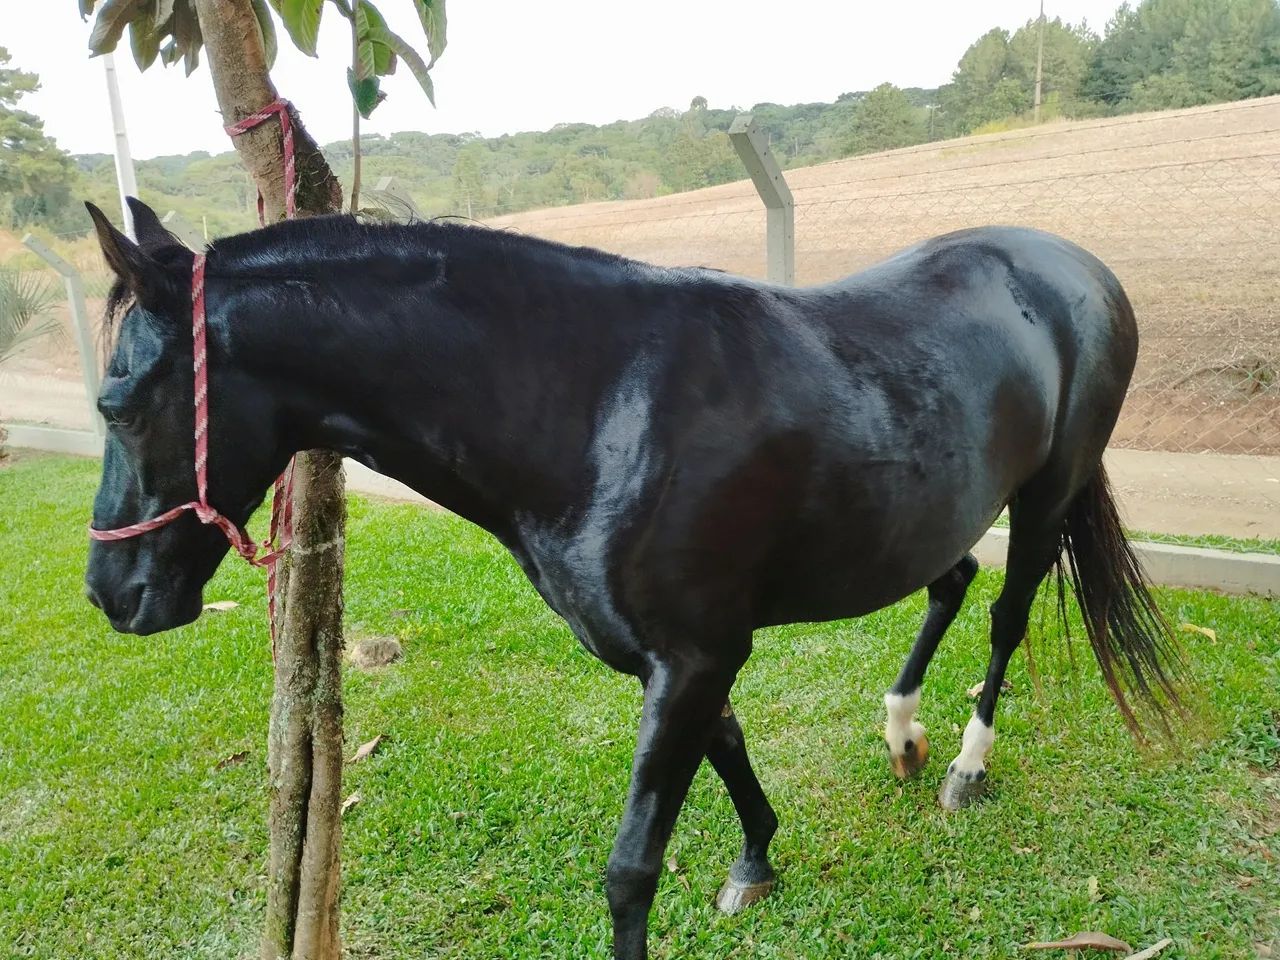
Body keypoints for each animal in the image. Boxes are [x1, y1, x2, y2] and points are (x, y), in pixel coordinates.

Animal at [83, 197, 1181, 959]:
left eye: (116, 403)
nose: (111, 594)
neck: (602, 403)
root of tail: (1079, 267)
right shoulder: (679, 658)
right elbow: (729, 752)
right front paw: (756, 861)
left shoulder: (693, 656)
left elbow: (630, 868)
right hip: (932, 511)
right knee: (948, 582)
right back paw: (902, 731)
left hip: (1045, 498)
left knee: (1004, 616)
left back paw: (963, 764)